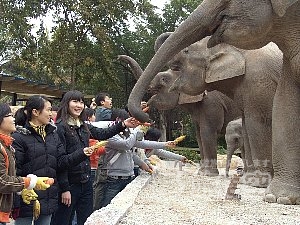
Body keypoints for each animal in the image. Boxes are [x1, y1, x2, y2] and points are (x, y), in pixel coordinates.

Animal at [127, 0, 300, 205]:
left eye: (164, 79)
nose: (146, 115)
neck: (236, 50)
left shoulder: (252, 84)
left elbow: (250, 124)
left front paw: (254, 184)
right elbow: (205, 132)